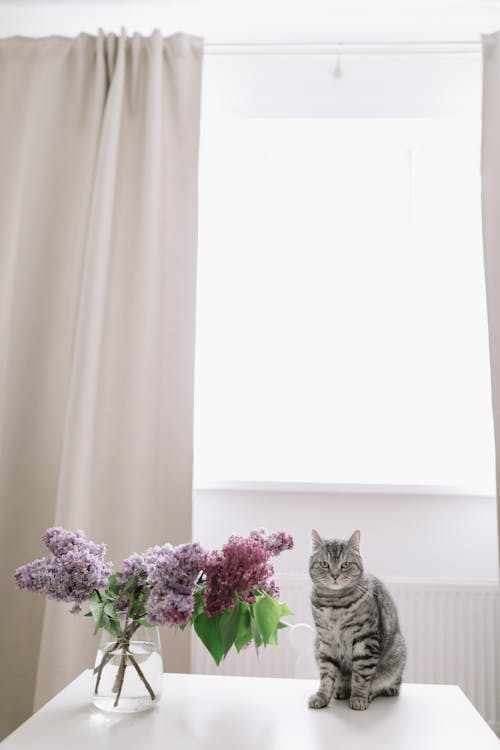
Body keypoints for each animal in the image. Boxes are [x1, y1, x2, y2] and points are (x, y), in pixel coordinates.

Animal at [308, 532, 406, 712]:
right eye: (324, 564)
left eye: (345, 564)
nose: (334, 575)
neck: (334, 603)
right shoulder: (325, 640)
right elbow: (326, 674)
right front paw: (322, 697)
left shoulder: (365, 640)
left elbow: (361, 674)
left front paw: (359, 698)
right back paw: (341, 690)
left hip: (397, 657)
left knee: (386, 687)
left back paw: (368, 694)